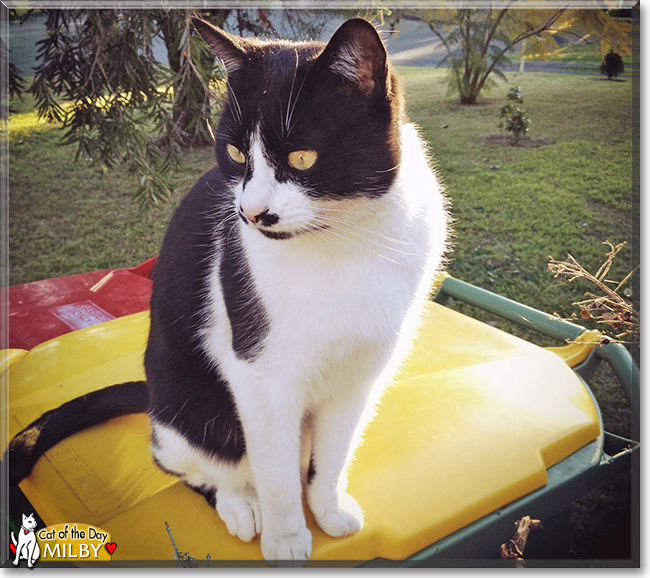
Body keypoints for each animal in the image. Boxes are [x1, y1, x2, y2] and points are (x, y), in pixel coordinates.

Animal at [6, 15, 450, 560]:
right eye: (237, 153)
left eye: (303, 158)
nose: (251, 212)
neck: (346, 242)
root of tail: (153, 400)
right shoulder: (261, 376)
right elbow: (275, 475)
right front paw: (286, 539)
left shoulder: (361, 373)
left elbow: (335, 450)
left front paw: (327, 507)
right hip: (192, 410)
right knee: (194, 465)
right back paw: (239, 505)